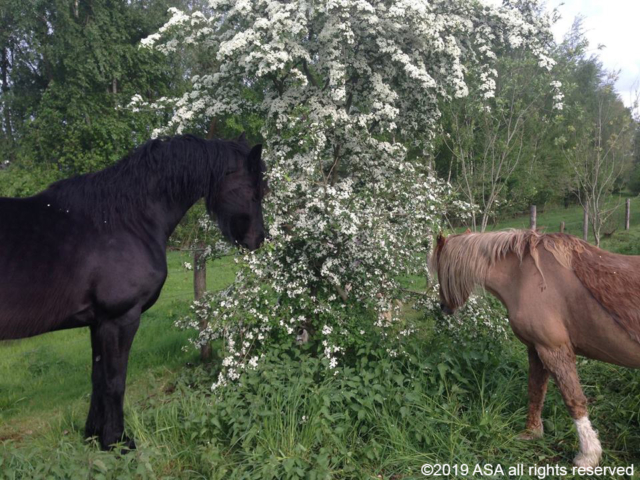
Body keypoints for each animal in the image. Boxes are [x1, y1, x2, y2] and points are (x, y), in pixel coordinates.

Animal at [0, 134, 268, 450]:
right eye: (255, 191)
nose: (259, 240)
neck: (122, 220)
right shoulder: (121, 318)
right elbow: (116, 381)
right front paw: (118, 441)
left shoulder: (98, 322)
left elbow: (98, 379)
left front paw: (94, 435)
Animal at [428, 231, 640, 466]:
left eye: (439, 269)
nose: (443, 306)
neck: (524, 277)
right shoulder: (536, 348)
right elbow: (536, 390)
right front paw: (532, 433)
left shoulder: (553, 349)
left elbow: (573, 399)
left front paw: (588, 455)